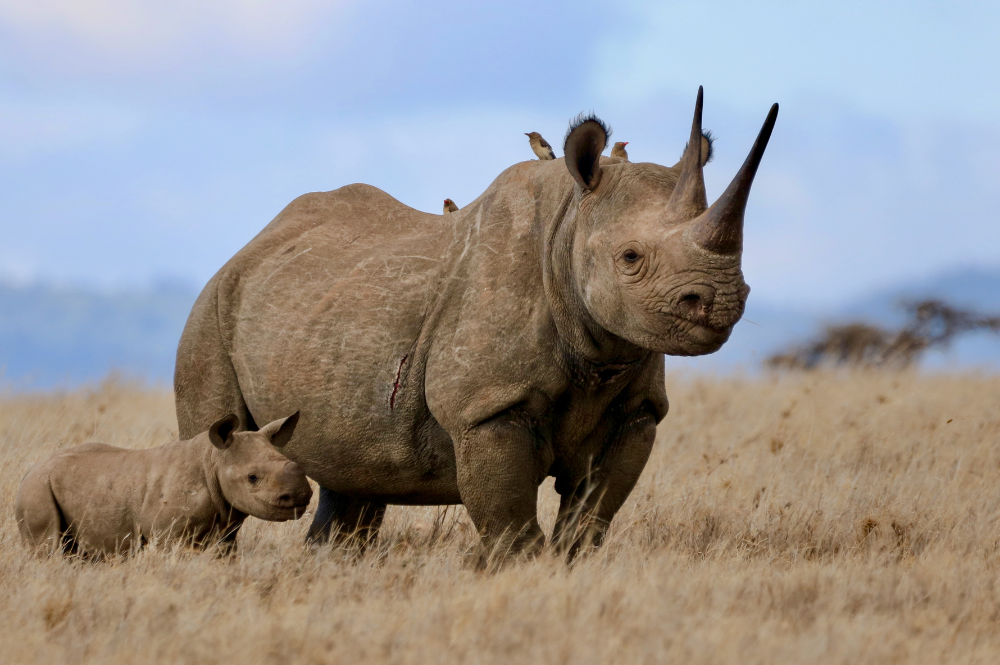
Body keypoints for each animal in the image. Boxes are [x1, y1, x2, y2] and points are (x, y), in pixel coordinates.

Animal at [13, 410, 310, 556]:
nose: (300, 496)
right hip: (36, 488)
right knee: (47, 547)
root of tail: (29, 471)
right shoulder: (167, 534)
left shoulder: (224, 532)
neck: (213, 461)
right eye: (252, 478)